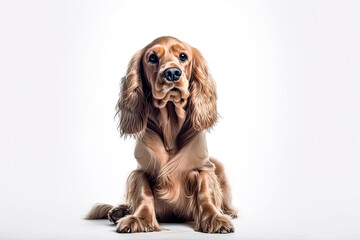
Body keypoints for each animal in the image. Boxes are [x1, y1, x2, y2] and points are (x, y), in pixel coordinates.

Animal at [86, 36, 238, 233]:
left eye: (183, 56)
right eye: (152, 58)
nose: (172, 73)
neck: (170, 129)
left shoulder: (204, 166)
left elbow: (205, 190)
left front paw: (214, 218)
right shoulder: (142, 170)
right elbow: (143, 191)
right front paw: (139, 218)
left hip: (218, 165)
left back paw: (227, 212)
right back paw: (120, 211)